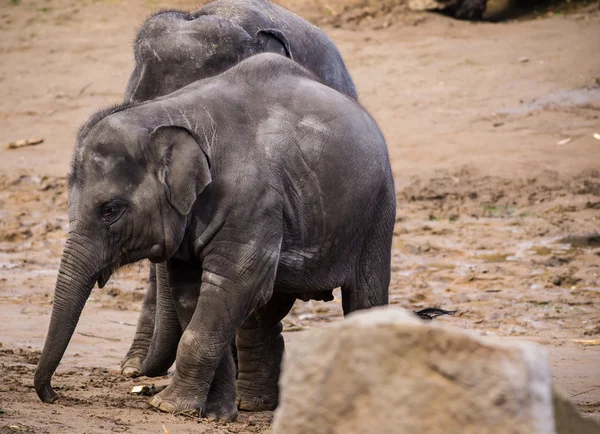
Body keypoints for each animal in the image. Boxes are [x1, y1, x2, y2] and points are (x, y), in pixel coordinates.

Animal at [32, 54, 394, 420]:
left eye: (110, 210)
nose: (53, 395)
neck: (168, 114)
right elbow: (193, 293)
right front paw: (212, 414)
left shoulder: (253, 202)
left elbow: (233, 284)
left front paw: (167, 406)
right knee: (263, 312)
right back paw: (252, 405)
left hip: (377, 212)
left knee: (363, 298)